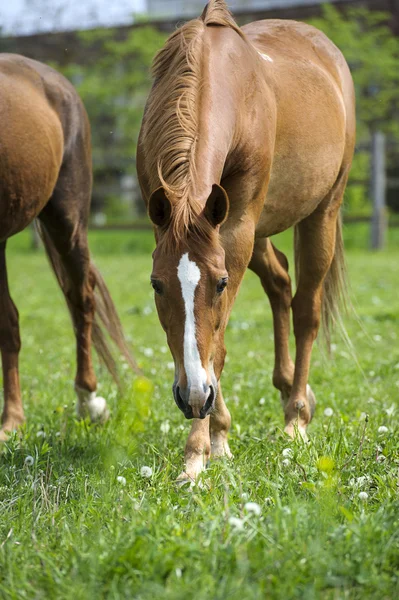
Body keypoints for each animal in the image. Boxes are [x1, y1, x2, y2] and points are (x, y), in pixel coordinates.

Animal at [138, 0, 356, 480]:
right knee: (280, 282)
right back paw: (289, 390)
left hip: (320, 214)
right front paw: (217, 437)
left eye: (219, 283)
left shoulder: (235, 230)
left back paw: (296, 416)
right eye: (156, 285)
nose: (192, 397)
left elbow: (216, 347)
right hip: (257, 234)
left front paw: (197, 453)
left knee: (306, 310)